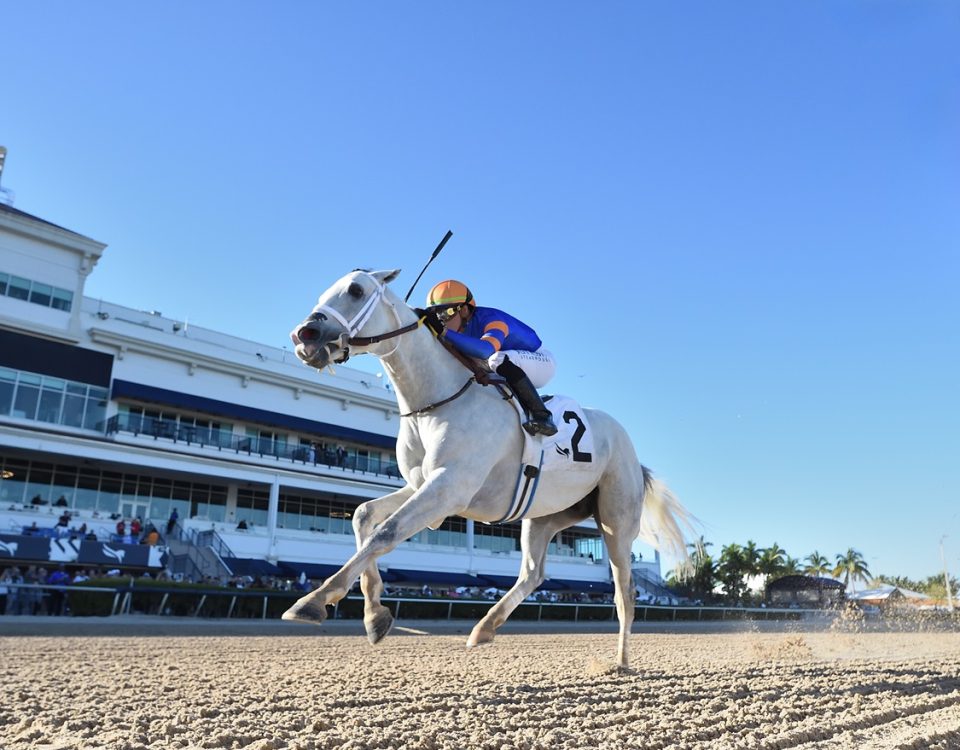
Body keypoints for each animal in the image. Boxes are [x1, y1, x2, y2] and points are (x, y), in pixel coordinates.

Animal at [282, 268, 692, 668]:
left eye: (355, 290)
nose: (305, 335)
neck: (436, 400)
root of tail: (633, 454)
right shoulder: (422, 484)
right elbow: (364, 516)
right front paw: (374, 616)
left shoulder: (449, 488)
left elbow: (386, 532)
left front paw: (313, 600)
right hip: (544, 516)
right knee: (533, 574)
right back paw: (485, 627)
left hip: (616, 519)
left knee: (624, 591)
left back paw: (620, 661)